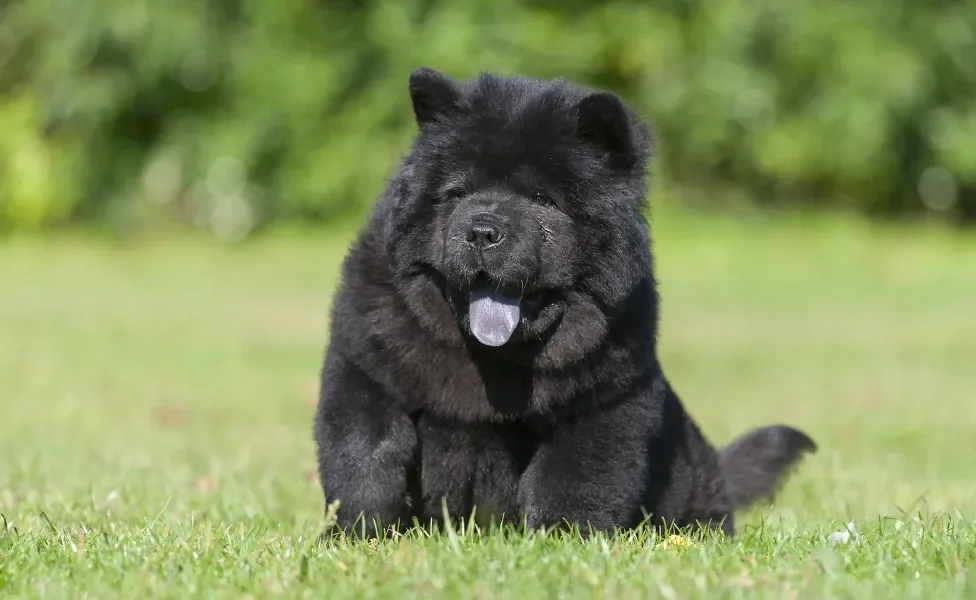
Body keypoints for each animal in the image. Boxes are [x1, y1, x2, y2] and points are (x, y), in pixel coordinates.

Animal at [314, 67, 816, 540]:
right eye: (456, 193)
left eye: (542, 200)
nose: (481, 231)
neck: (492, 361)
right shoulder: (363, 371)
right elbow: (366, 457)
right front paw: (359, 534)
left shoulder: (604, 402)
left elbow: (571, 479)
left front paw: (563, 543)